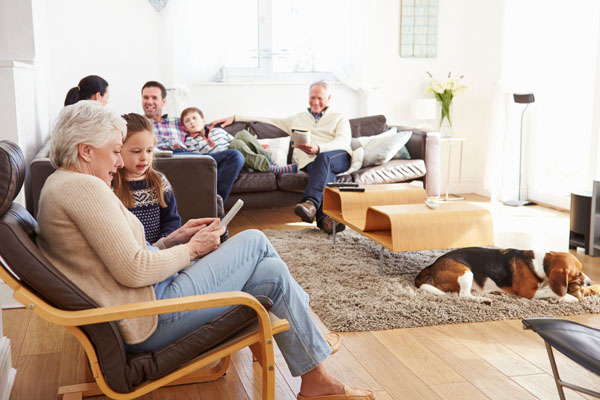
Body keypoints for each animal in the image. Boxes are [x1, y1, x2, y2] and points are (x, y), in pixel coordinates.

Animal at [414, 247, 588, 304]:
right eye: (577, 274)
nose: (589, 282)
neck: (541, 263)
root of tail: (434, 264)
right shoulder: (528, 292)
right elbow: (551, 291)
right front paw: (569, 297)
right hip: (465, 272)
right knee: (463, 295)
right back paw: (482, 300)